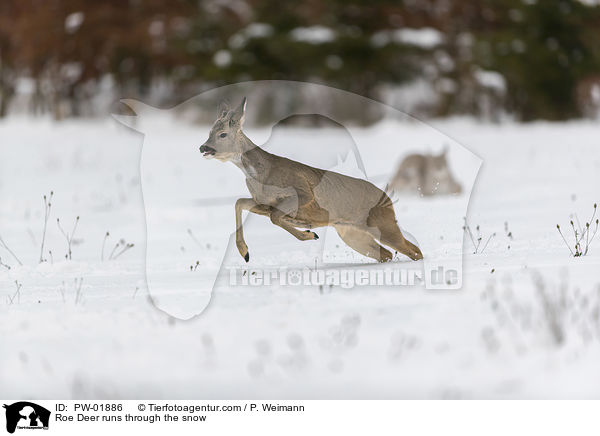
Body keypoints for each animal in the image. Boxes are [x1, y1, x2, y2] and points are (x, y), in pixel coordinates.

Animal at [198, 98, 422, 262]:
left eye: (222, 134)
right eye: (209, 132)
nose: (203, 147)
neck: (261, 175)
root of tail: (388, 198)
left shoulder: (303, 193)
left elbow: (275, 218)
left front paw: (308, 234)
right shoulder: (264, 203)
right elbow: (240, 203)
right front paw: (244, 252)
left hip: (383, 223)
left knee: (413, 250)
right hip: (351, 233)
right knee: (387, 254)